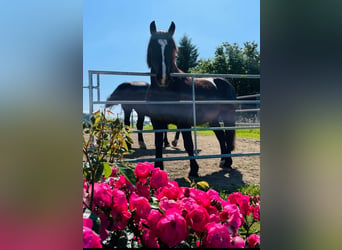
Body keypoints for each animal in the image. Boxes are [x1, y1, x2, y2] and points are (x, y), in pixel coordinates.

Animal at [146, 21, 236, 178]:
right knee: (221, 137)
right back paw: (223, 161)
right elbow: (158, 145)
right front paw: (158, 169)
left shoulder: (184, 122)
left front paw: (194, 170)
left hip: (227, 117)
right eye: (153, 47)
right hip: (213, 119)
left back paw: (228, 162)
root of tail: (225, 82)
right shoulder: (157, 122)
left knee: (228, 135)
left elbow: (188, 144)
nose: (163, 78)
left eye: (173, 49)